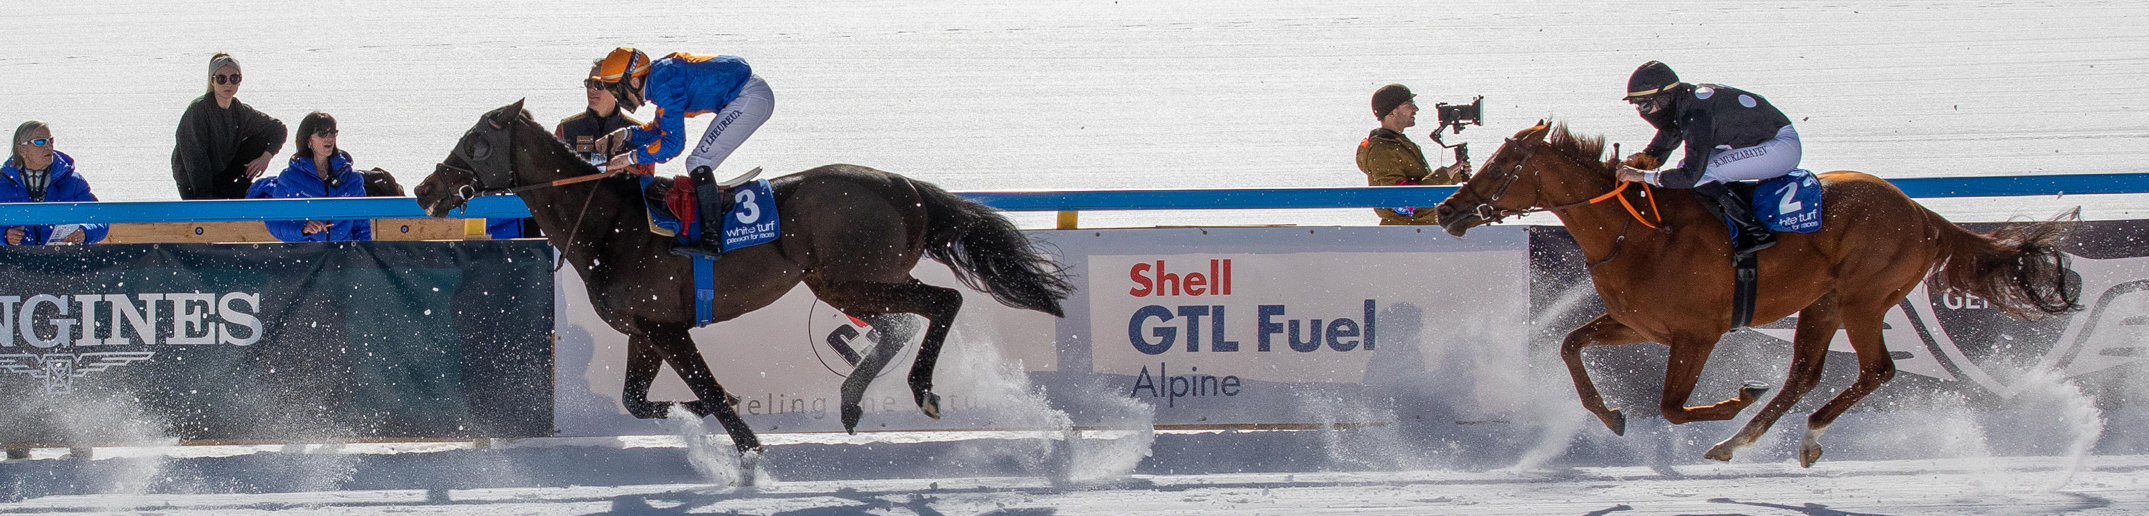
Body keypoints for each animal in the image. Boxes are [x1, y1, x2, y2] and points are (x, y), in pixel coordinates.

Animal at [406, 101, 1070, 460]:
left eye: (475, 142)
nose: (425, 188)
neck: (611, 224)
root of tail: (904, 185)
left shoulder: (666, 327)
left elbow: (709, 393)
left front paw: (746, 449)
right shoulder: (646, 329)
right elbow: (637, 400)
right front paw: (697, 410)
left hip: (854, 276)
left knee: (942, 301)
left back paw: (921, 390)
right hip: (842, 283)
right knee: (902, 323)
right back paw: (852, 399)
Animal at [1435, 122, 2071, 468]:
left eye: (1502, 164)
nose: (1445, 208)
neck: (1637, 234)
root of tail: (1923, 214)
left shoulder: (1697, 333)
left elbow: (1671, 406)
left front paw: (1734, 397)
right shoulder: (1639, 324)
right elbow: (1570, 345)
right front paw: (1610, 415)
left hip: (1865, 298)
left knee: (1877, 371)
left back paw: (1789, 433)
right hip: (1824, 302)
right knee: (1806, 374)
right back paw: (1745, 441)